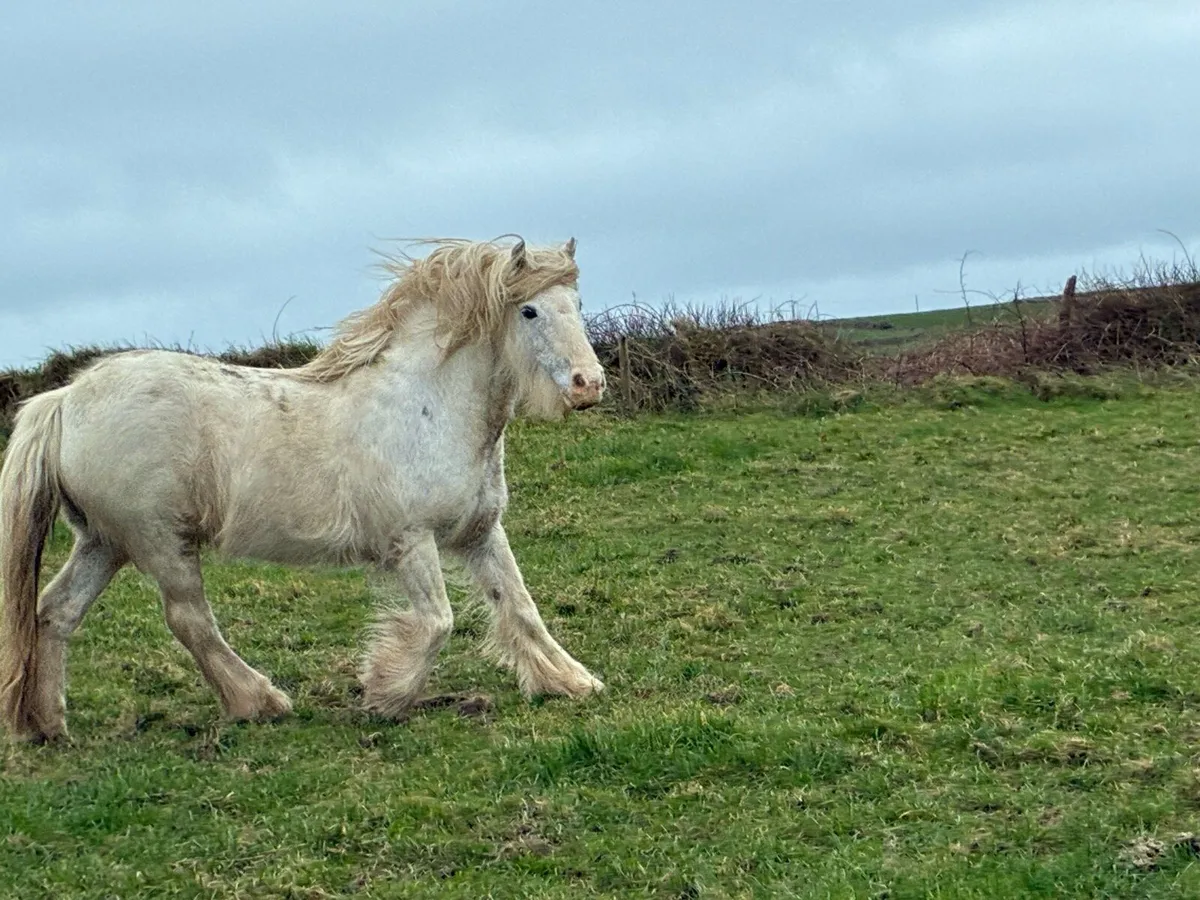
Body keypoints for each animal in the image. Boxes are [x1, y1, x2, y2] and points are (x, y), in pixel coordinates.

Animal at [0, 236, 606, 742]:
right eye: (528, 310)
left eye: (576, 304)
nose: (589, 385)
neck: (427, 407)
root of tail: (65, 399)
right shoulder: (410, 540)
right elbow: (438, 622)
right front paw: (386, 695)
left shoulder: (480, 533)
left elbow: (519, 606)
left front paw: (571, 681)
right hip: (159, 541)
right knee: (189, 619)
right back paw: (260, 702)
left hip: (104, 542)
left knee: (56, 612)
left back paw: (49, 725)